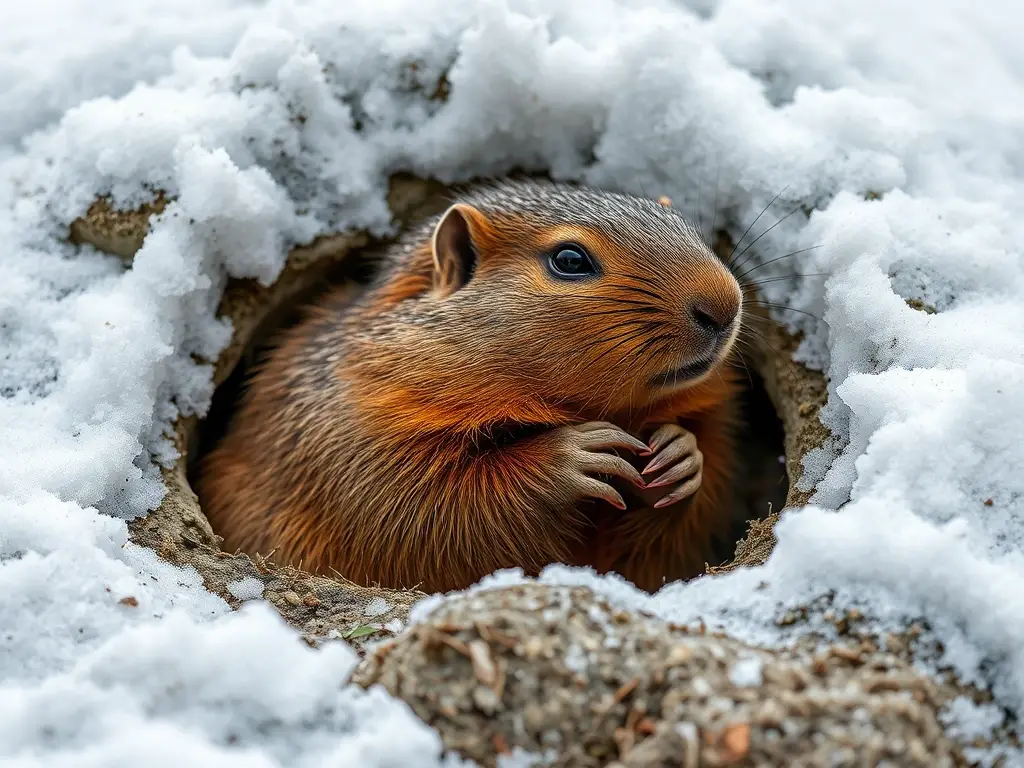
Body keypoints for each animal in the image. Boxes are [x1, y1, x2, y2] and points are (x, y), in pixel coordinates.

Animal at [196, 179, 744, 594]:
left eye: (686, 226)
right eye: (569, 260)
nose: (725, 303)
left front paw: (681, 453)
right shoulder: (347, 434)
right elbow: (425, 511)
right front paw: (566, 457)